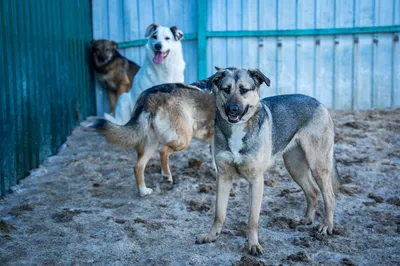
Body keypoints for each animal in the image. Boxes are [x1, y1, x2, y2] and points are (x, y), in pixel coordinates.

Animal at [196, 68, 338, 256]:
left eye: (244, 90)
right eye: (226, 89)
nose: (232, 109)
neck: (238, 128)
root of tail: (319, 103)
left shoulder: (256, 181)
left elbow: (252, 220)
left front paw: (253, 245)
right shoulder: (223, 177)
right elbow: (219, 213)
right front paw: (212, 236)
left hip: (318, 165)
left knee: (329, 196)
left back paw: (327, 226)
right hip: (295, 166)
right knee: (313, 192)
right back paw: (307, 220)